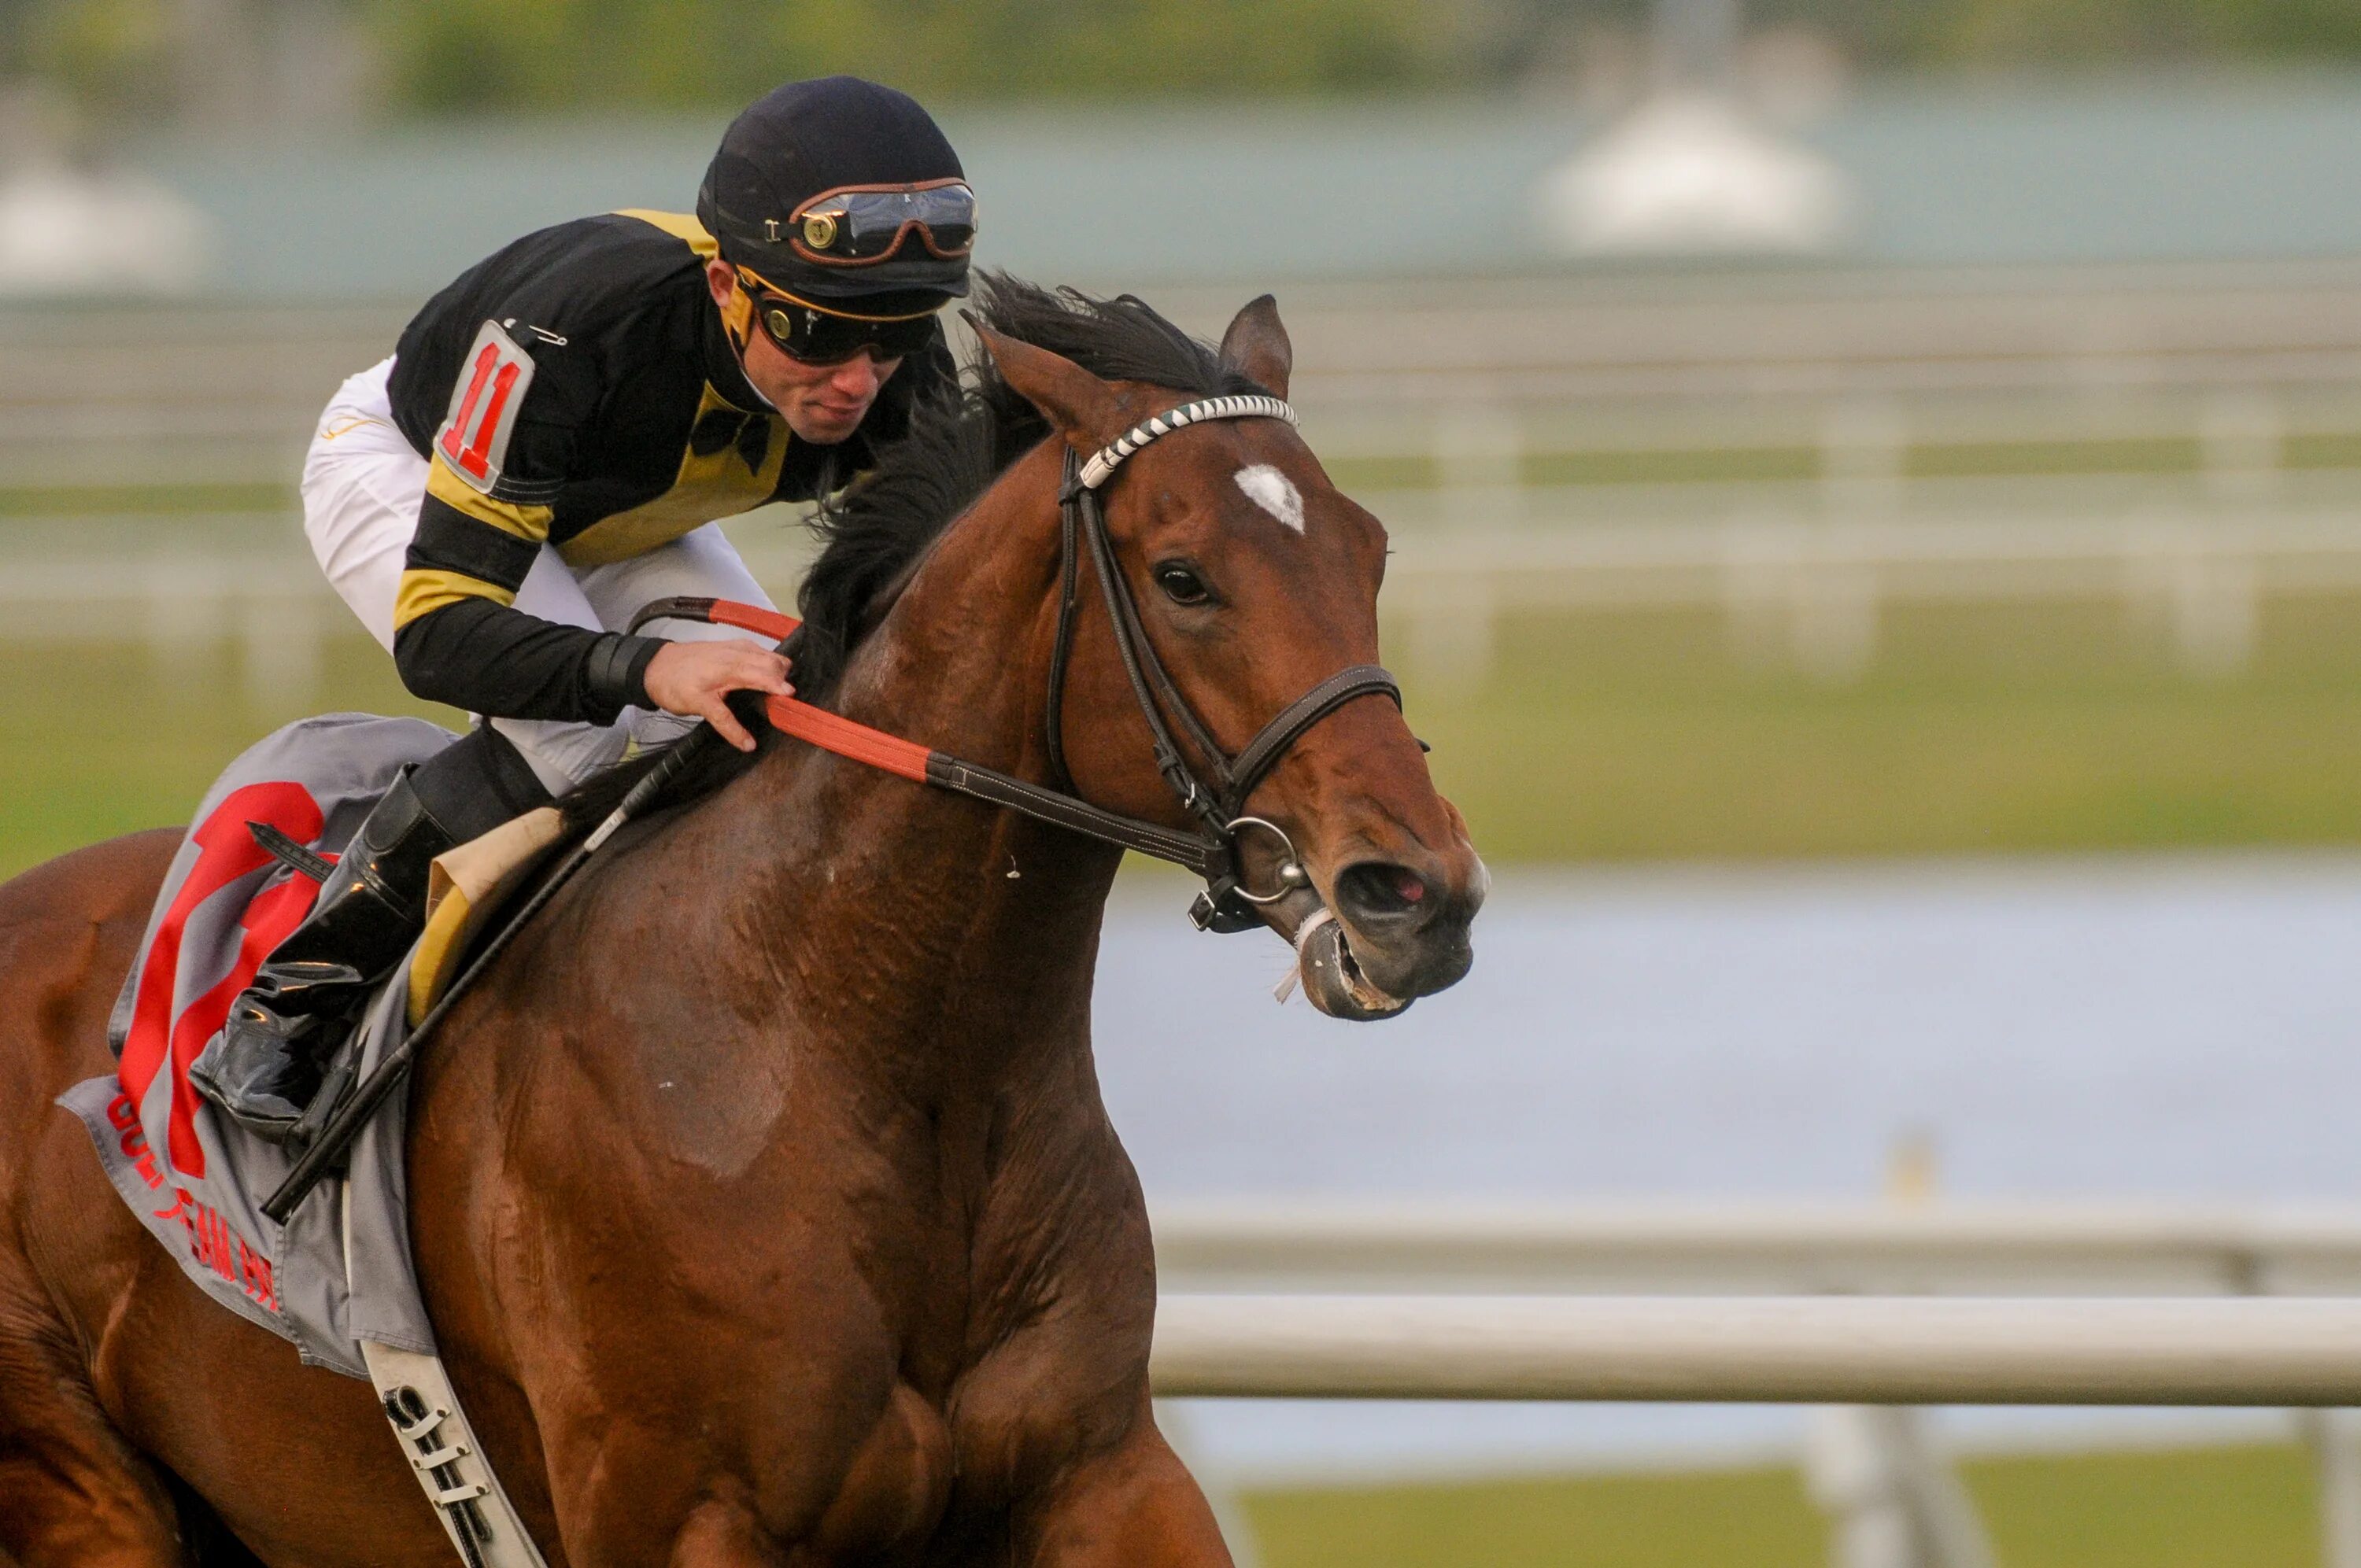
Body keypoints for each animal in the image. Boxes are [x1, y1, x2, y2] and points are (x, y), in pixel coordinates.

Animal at [0, 275, 1473, 1558]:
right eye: (1183, 576)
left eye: (1371, 549)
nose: (1421, 893)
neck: (839, 1035)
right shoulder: (688, 1513)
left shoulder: (1104, 1470)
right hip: (78, 1484)